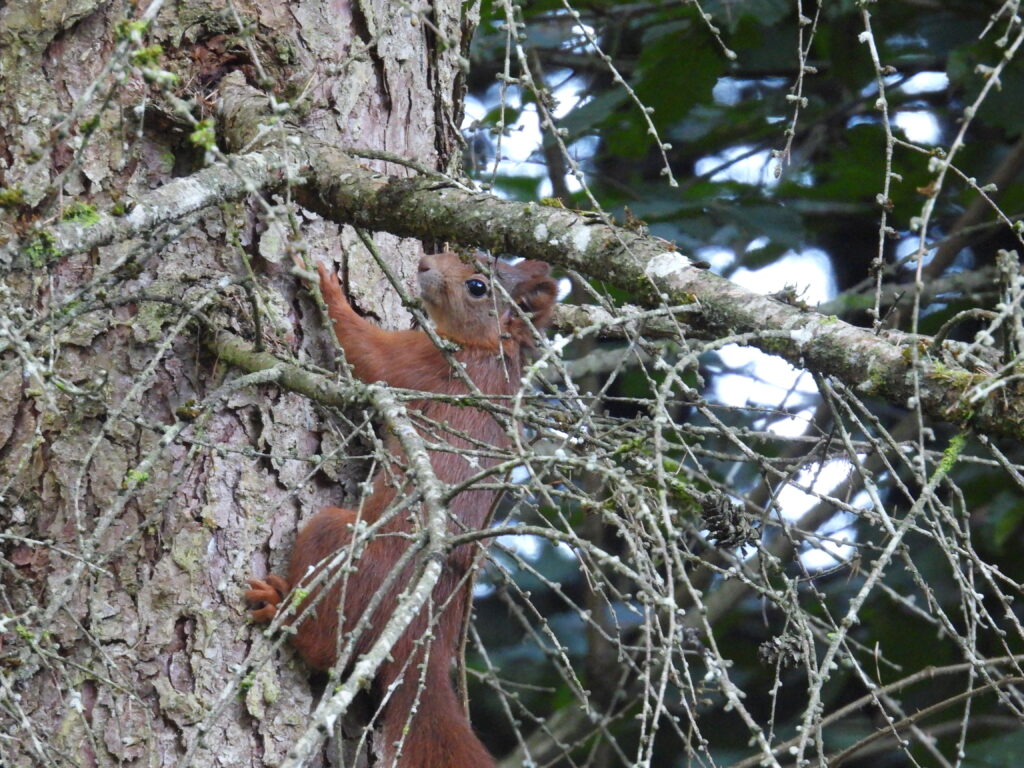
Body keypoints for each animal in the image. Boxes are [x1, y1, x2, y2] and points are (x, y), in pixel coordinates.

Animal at [246, 251, 557, 768]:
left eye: (477, 286)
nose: (425, 261)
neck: (492, 351)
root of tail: (419, 640)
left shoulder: (426, 362)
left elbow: (369, 352)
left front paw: (325, 284)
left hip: (342, 545)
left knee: (322, 648)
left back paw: (280, 608)